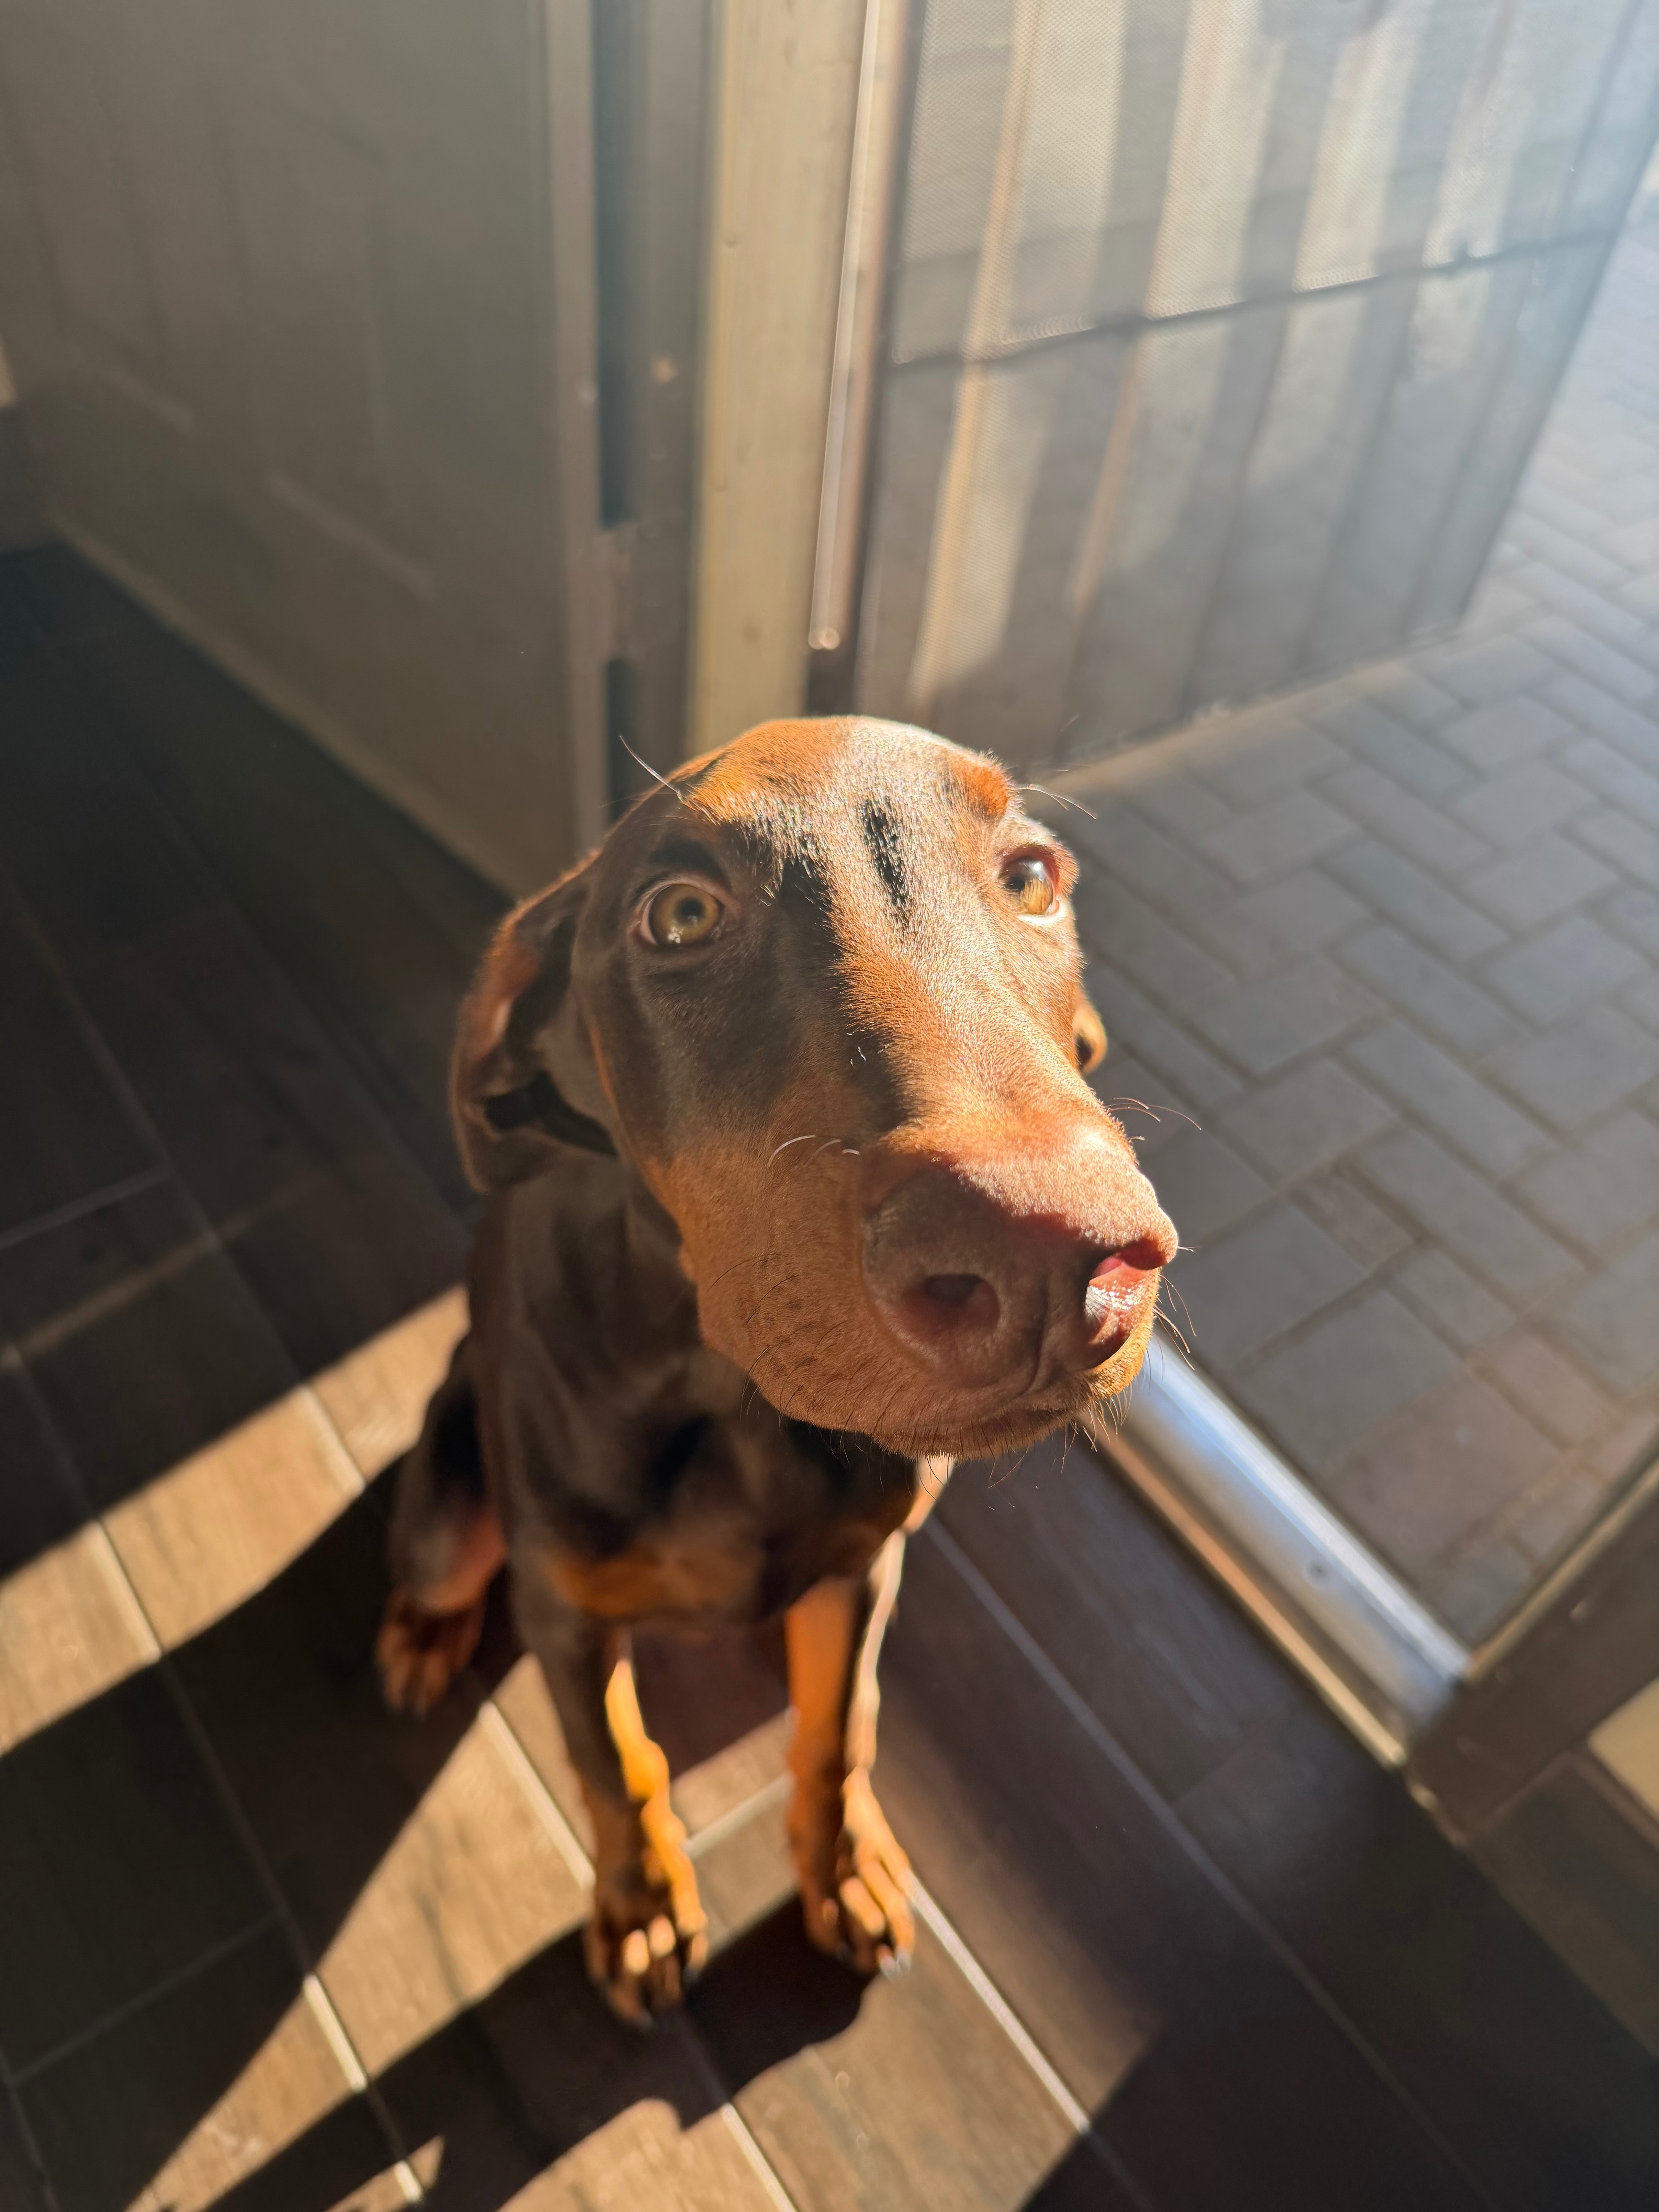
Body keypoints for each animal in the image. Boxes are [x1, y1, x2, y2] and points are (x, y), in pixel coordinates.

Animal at [376, 715, 1176, 2022]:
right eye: (680, 915)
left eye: (1032, 879)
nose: (1059, 1256)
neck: (734, 1402)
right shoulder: (566, 1610)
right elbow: (616, 1765)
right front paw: (642, 1904)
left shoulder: (863, 1566)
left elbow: (837, 1731)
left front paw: (844, 1866)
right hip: (458, 1498)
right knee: (442, 1564)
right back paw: (423, 1634)